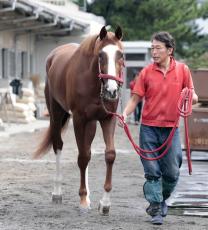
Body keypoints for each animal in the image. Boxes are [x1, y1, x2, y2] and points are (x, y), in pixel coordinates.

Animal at [33, 26, 124, 215]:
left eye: (120, 54)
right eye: (101, 55)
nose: (112, 91)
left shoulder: (107, 118)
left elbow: (109, 155)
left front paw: (104, 203)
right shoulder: (79, 119)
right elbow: (82, 157)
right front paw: (82, 199)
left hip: (91, 123)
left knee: (87, 149)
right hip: (56, 114)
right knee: (59, 146)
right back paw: (57, 193)